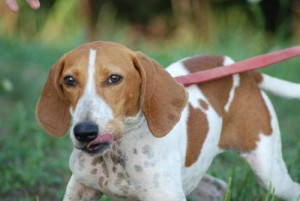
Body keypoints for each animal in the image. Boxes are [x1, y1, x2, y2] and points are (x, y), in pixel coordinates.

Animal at [35, 40, 300, 201]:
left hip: (270, 173)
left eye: (114, 78)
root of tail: (242, 71)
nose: (85, 132)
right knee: (214, 185)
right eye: (69, 80)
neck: (118, 152)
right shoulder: (80, 188)